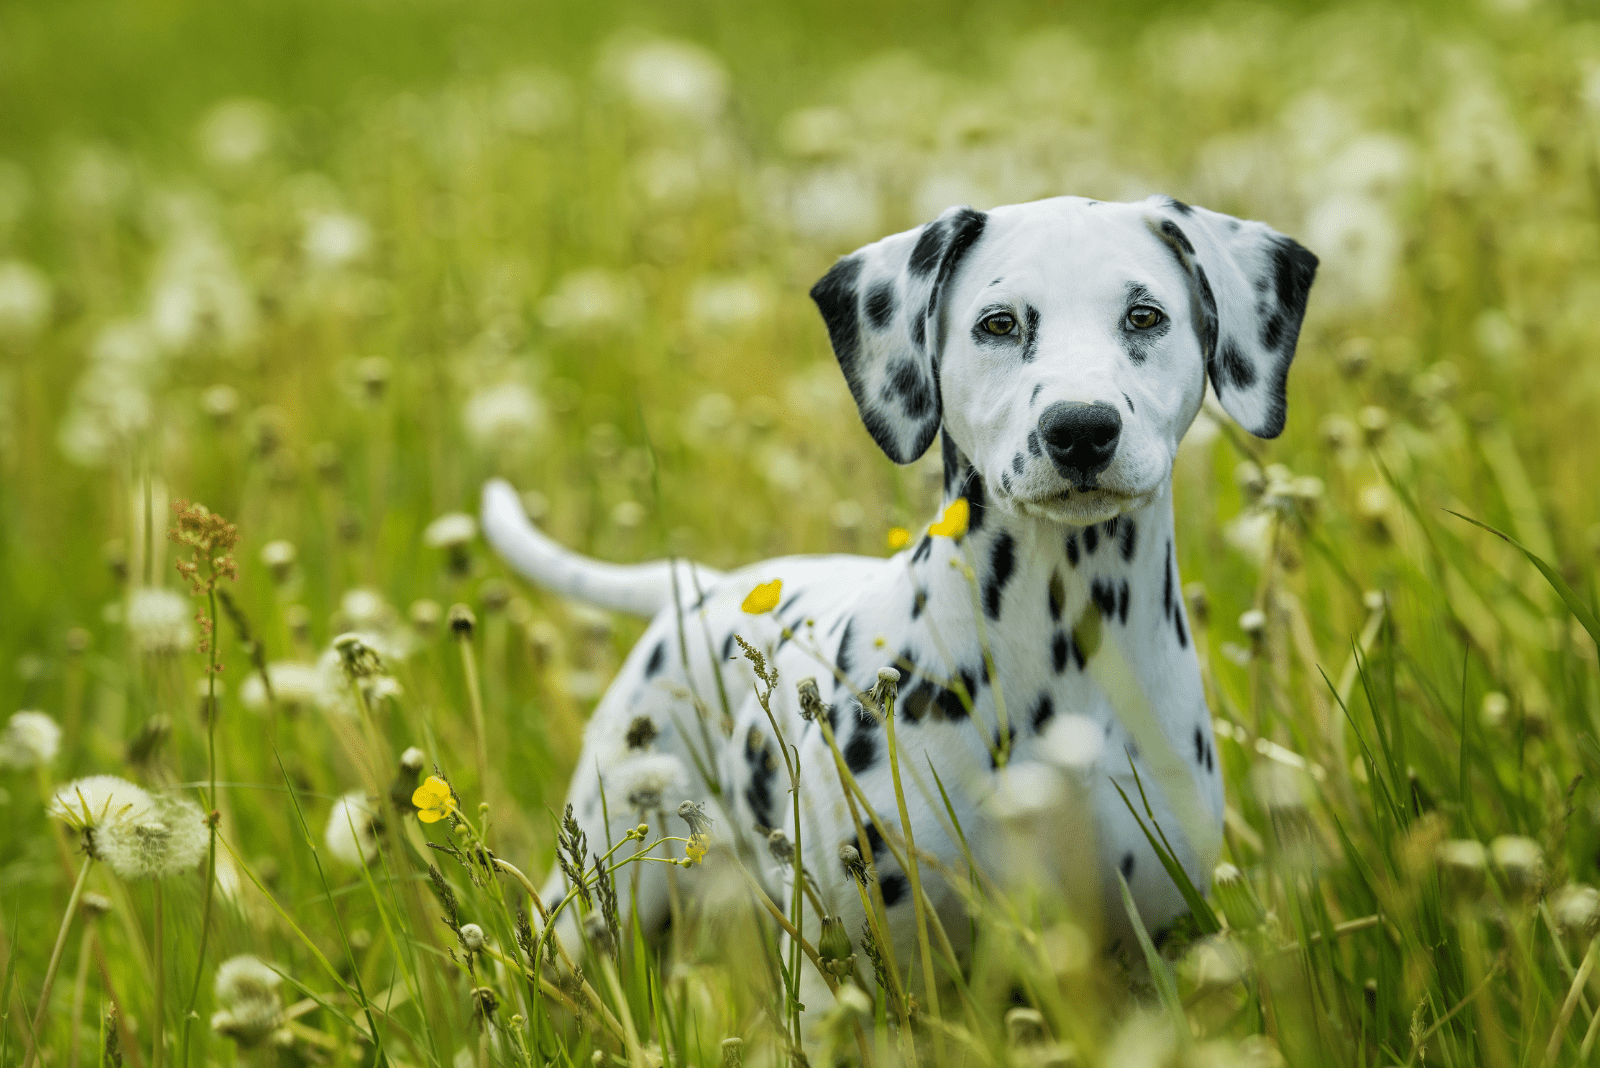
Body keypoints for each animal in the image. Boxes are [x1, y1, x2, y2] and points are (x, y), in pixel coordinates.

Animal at [480, 194, 1318, 1010]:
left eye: (1145, 316)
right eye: (999, 323)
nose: (1080, 429)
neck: (1061, 656)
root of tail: (705, 587)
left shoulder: (1150, 954)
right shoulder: (844, 974)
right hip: (601, 892)